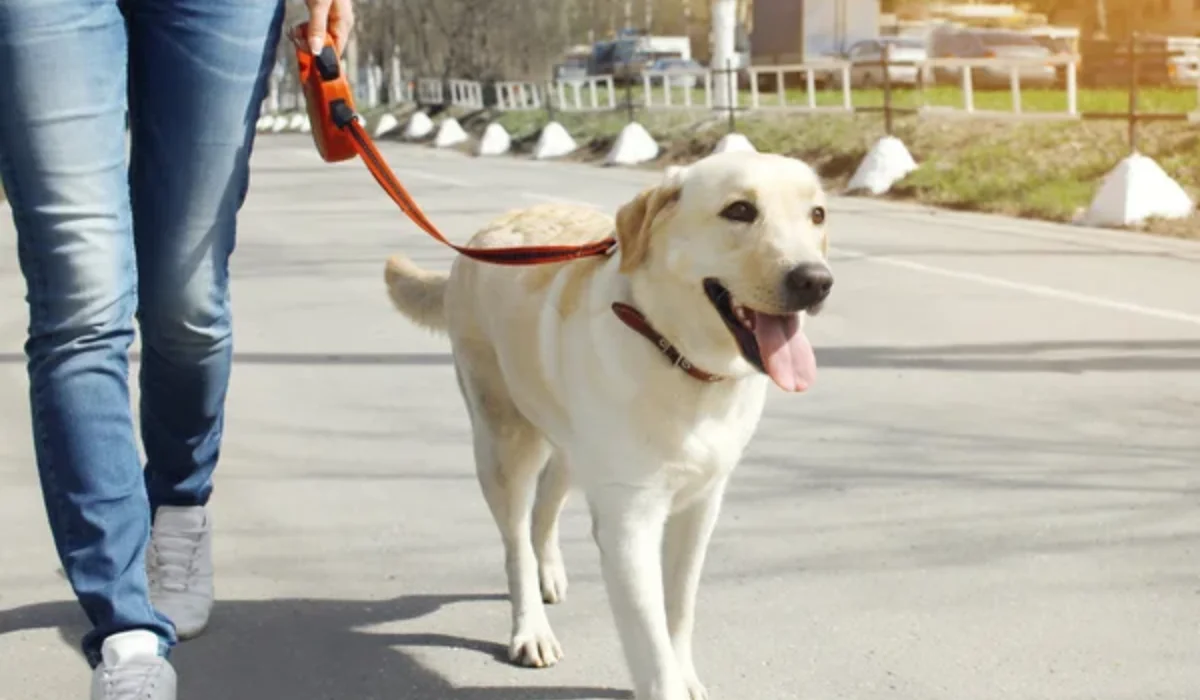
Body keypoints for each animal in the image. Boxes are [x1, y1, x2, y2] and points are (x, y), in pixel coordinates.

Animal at [379, 151, 830, 700]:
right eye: (739, 210)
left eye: (817, 215)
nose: (816, 281)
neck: (678, 358)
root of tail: (482, 237)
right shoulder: (628, 521)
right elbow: (650, 643)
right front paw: (667, 681)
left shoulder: (702, 505)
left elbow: (679, 607)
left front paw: (685, 671)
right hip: (504, 442)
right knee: (515, 541)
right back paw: (531, 626)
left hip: (570, 447)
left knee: (544, 509)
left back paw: (549, 571)